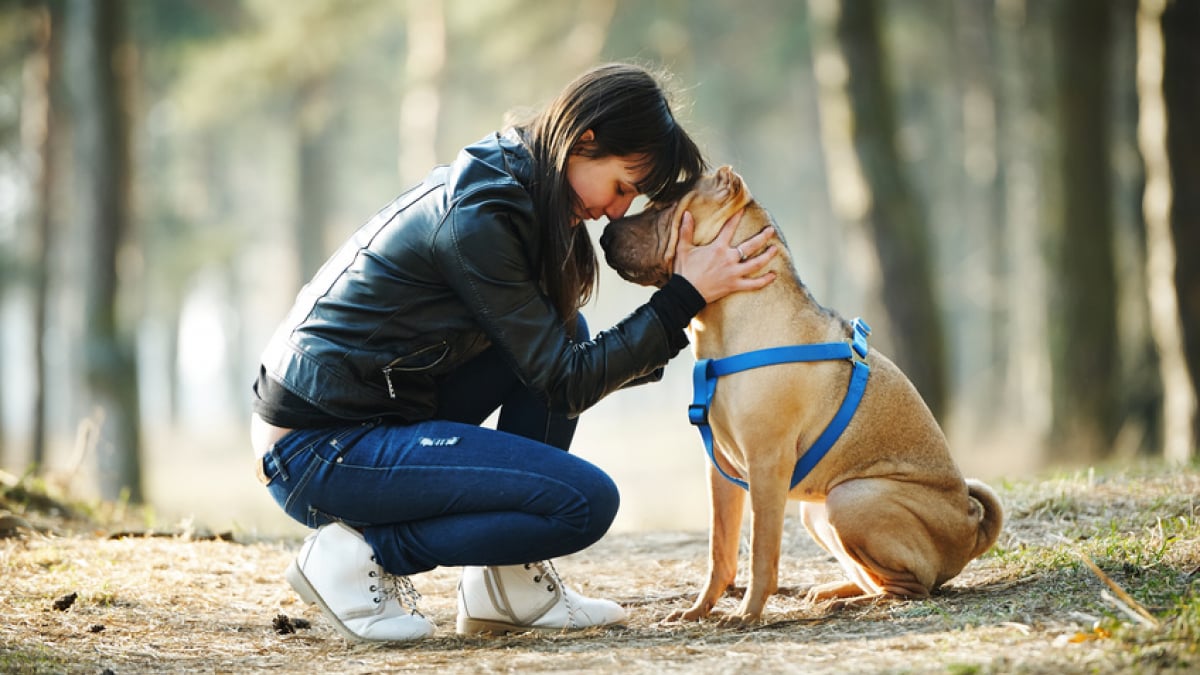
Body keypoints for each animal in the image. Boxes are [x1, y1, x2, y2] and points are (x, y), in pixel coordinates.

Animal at [600, 165, 1003, 624]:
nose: (604, 234)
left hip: (851, 498)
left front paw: (747, 613)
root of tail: (971, 527)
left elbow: (761, 551)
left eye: (663, 206)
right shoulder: (720, 469)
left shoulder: (766, 463)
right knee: (879, 578)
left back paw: (853, 601)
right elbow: (720, 550)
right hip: (818, 511)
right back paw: (831, 591)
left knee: (913, 587)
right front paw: (699, 610)